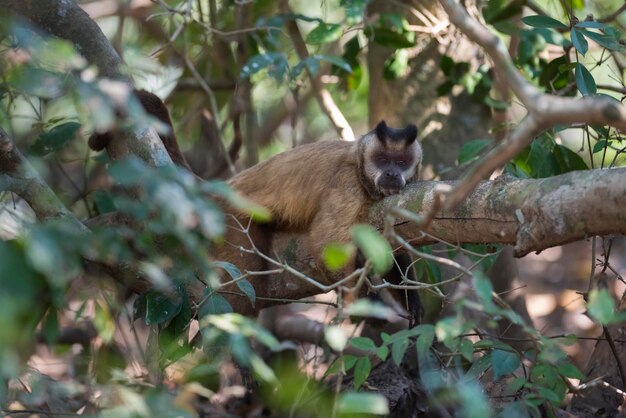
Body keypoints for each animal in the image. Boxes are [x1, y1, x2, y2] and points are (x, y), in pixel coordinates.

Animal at [90, 89, 422, 324]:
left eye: (401, 162)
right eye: (382, 160)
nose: (391, 174)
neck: (361, 171)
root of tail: (224, 186)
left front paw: (413, 302)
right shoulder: (347, 185)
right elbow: (326, 244)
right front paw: (372, 308)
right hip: (230, 220)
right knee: (242, 289)